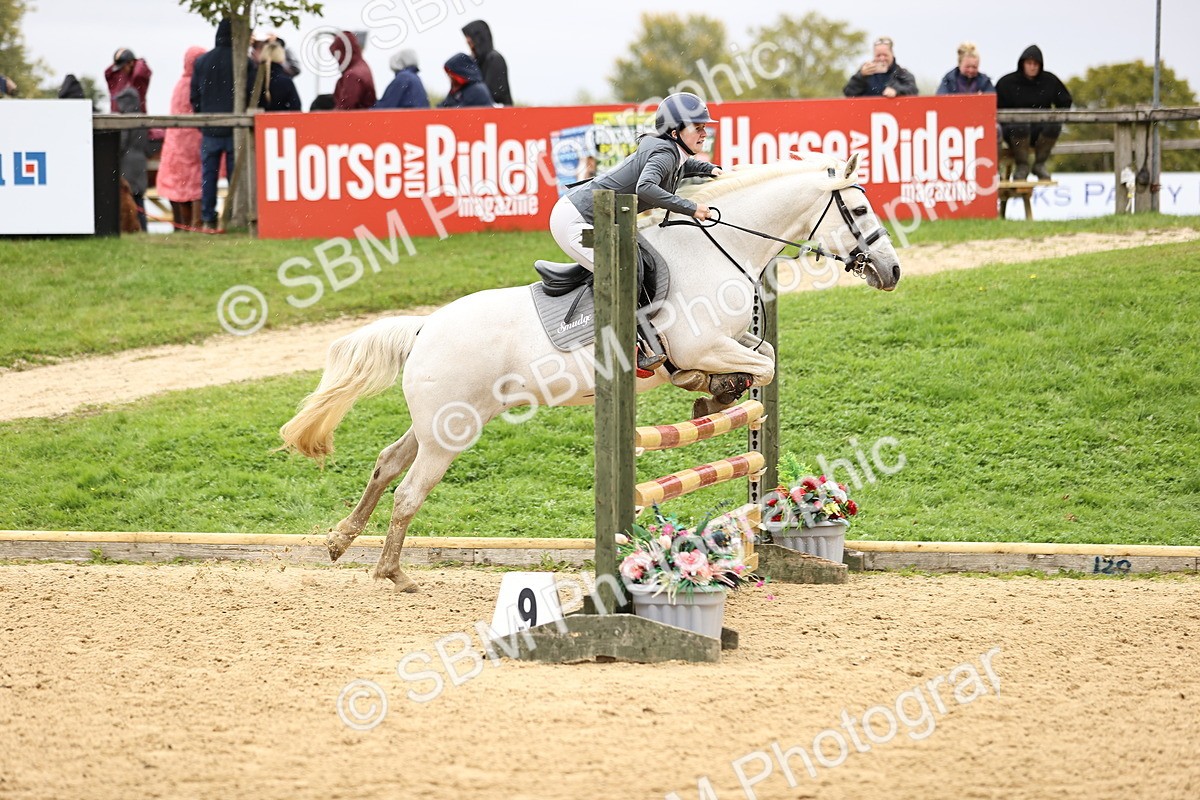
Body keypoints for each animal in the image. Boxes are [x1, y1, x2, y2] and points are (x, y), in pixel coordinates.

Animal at [279, 152, 902, 590]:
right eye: (860, 210)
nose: (892, 271)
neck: (717, 249)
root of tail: (424, 328)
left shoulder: (728, 340)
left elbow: (762, 359)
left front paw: (712, 394)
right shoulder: (704, 342)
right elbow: (762, 367)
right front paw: (713, 392)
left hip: (439, 422)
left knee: (388, 463)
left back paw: (340, 542)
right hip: (450, 433)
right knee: (409, 490)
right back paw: (393, 573)